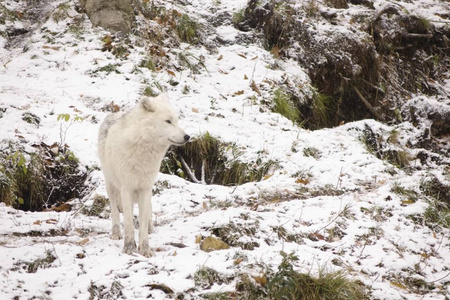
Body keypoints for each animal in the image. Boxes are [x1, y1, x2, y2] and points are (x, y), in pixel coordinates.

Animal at [97, 93, 189, 255]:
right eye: (168, 121)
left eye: (177, 121)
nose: (187, 137)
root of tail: (113, 113)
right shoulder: (126, 188)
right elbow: (128, 221)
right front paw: (129, 247)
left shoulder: (145, 187)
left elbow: (143, 220)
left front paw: (145, 249)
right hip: (111, 185)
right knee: (115, 210)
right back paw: (116, 233)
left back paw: (151, 228)